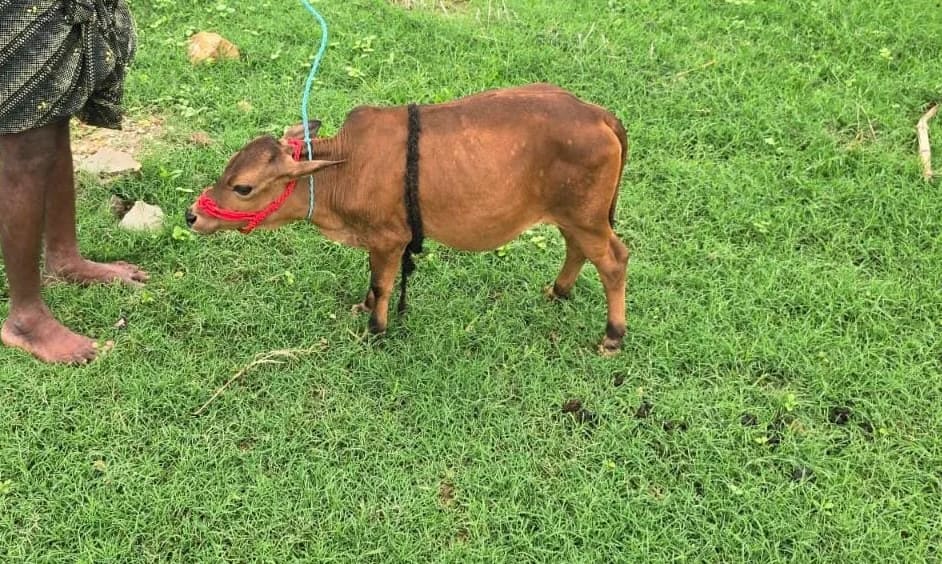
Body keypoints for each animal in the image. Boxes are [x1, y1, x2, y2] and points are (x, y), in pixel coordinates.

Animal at [186, 84, 629, 353]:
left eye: (242, 187)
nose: (192, 215)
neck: (345, 167)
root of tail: (599, 114)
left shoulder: (390, 238)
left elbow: (383, 285)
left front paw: (377, 329)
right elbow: (373, 281)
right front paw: (364, 307)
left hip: (587, 218)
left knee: (614, 261)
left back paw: (612, 336)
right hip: (573, 217)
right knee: (578, 250)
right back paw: (559, 290)